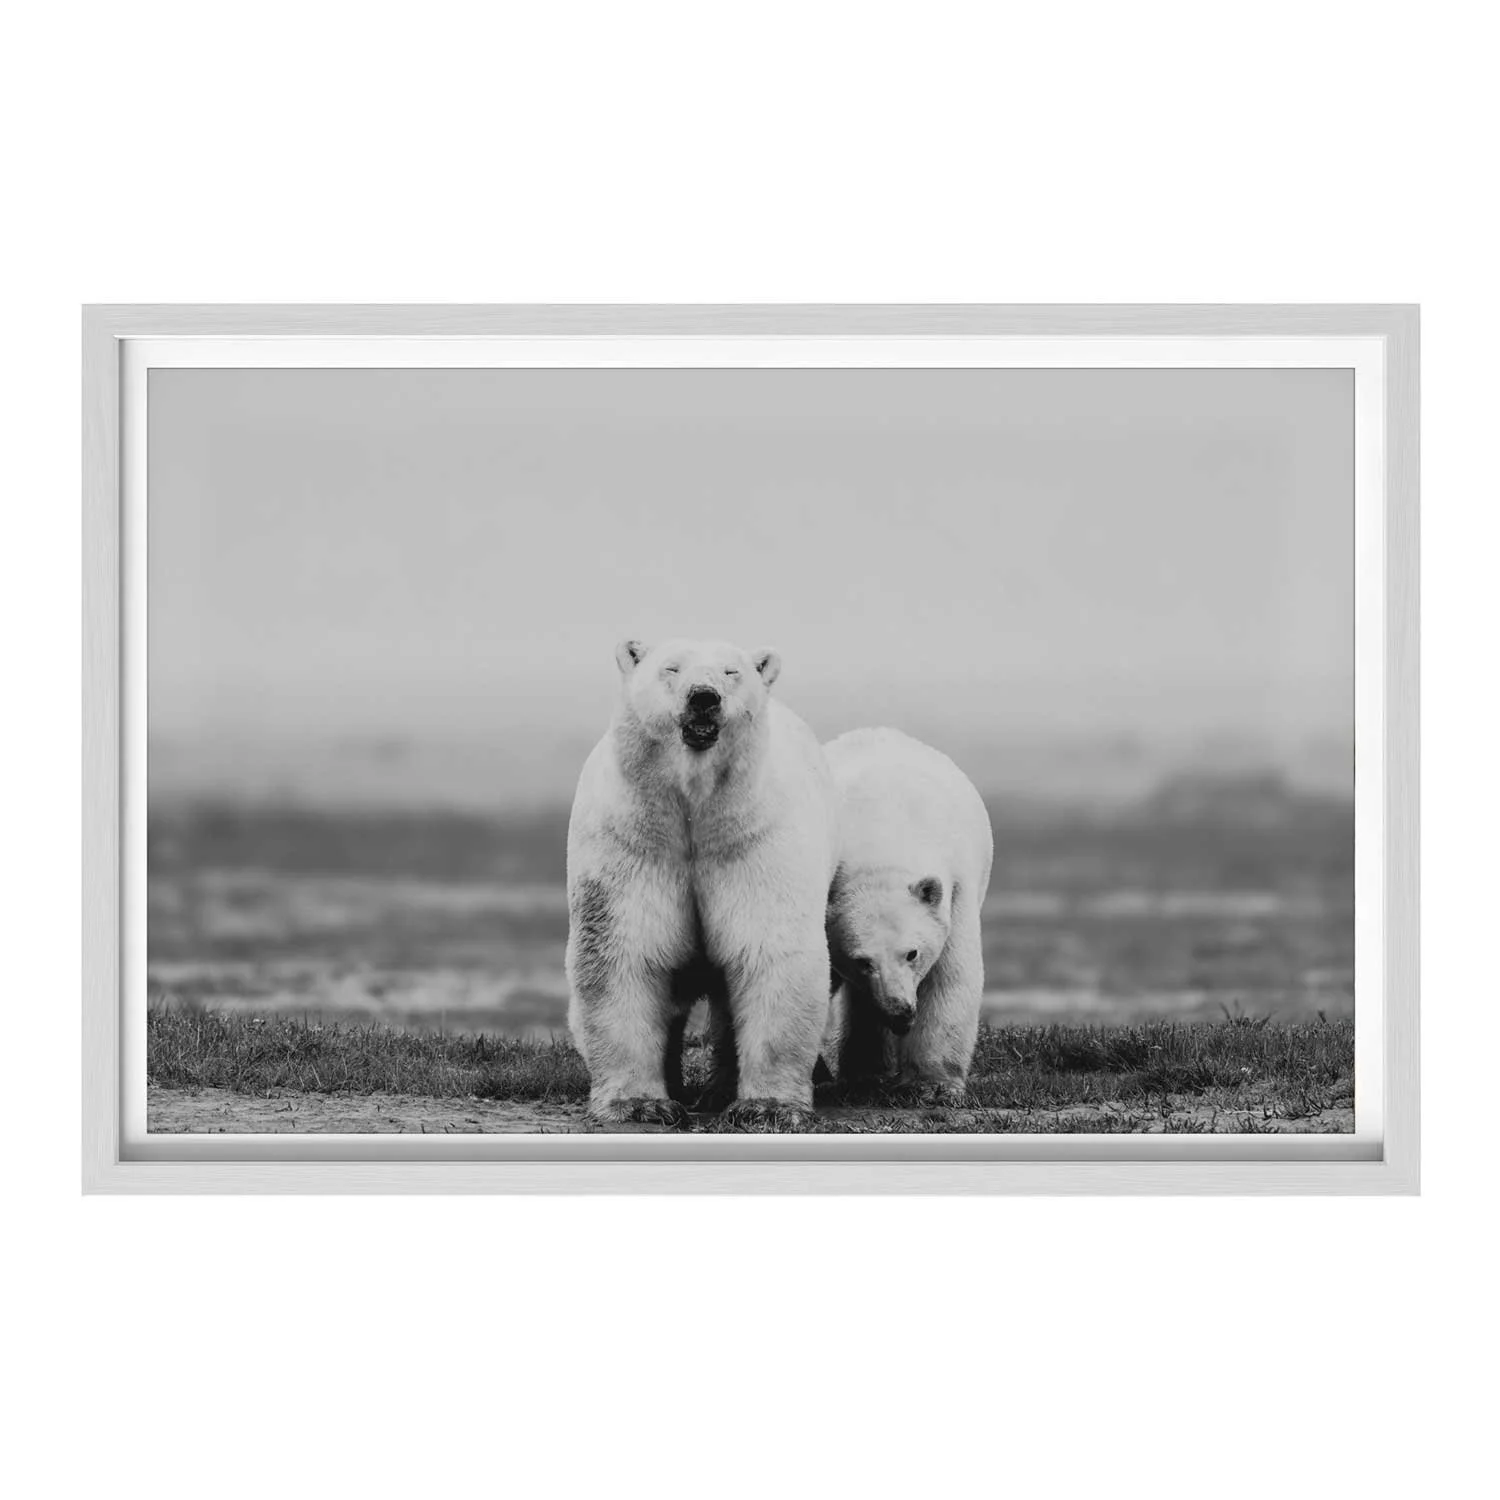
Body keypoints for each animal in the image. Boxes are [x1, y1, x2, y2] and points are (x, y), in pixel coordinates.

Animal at [565, 637, 838, 1128]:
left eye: (732, 672)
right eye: (671, 668)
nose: (704, 698)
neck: (694, 812)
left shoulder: (753, 841)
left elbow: (768, 952)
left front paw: (765, 1106)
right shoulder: (633, 842)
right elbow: (624, 953)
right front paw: (641, 1104)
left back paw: (719, 1090)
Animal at [820, 727, 994, 1104]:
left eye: (912, 953)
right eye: (861, 961)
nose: (899, 1012)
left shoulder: (955, 889)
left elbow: (948, 976)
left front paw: (933, 1085)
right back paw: (865, 1072)